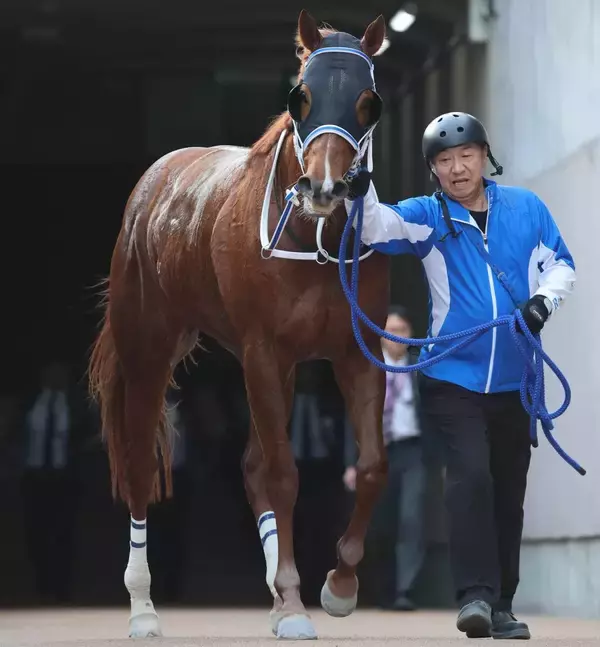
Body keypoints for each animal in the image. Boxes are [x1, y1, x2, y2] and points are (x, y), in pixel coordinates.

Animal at [89, 9, 390, 640]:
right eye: (302, 96)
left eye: (367, 102)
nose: (324, 188)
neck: (310, 237)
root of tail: (154, 183)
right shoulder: (261, 351)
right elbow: (282, 473)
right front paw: (296, 606)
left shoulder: (356, 353)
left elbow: (372, 467)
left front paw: (337, 587)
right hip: (149, 346)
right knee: (138, 463)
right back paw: (144, 609)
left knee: (250, 466)